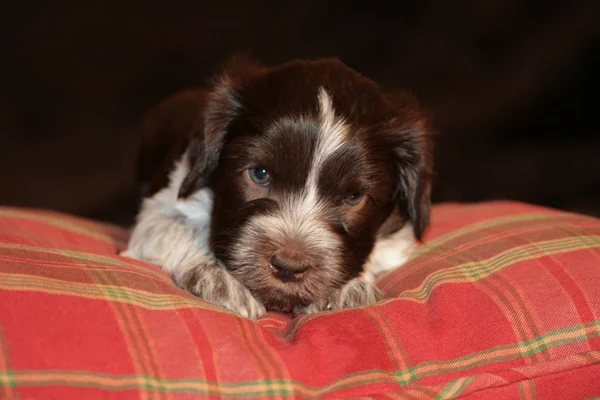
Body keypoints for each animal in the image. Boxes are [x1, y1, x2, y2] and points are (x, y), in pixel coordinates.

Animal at [122, 55, 434, 318]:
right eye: (260, 174)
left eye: (354, 196)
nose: (288, 266)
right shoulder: (161, 204)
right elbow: (179, 229)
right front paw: (218, 278)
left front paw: (348, 289)